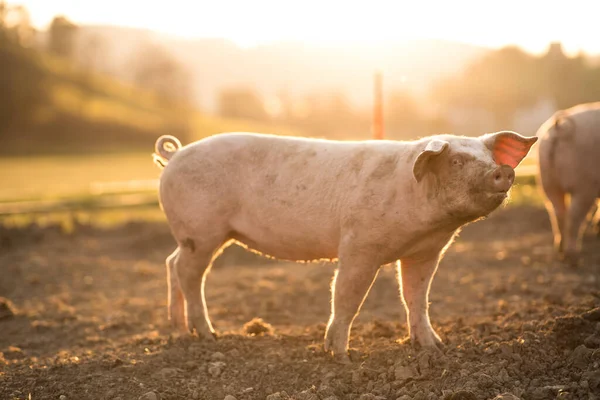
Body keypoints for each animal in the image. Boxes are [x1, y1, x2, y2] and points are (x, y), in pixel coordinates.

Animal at [152, 130, 536, 360]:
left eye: (490, 158)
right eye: (456, 161)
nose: (503, 171)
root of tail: (174, 156)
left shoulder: (426, 252)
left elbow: (416, 298)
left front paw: (434, 348)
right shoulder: (359, 244)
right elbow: (347, 296)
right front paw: (340, 356)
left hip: (193, 236)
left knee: (171, 263)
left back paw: (180, 332)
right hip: (201, 231)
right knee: (188, 272)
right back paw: (208, 336)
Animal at [536, 101, 600, 268]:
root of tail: (560, 127)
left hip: (548, 182)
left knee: (557, 212)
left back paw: (560, 250)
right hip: (584, 185)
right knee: (574, 216)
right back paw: (573, 257)